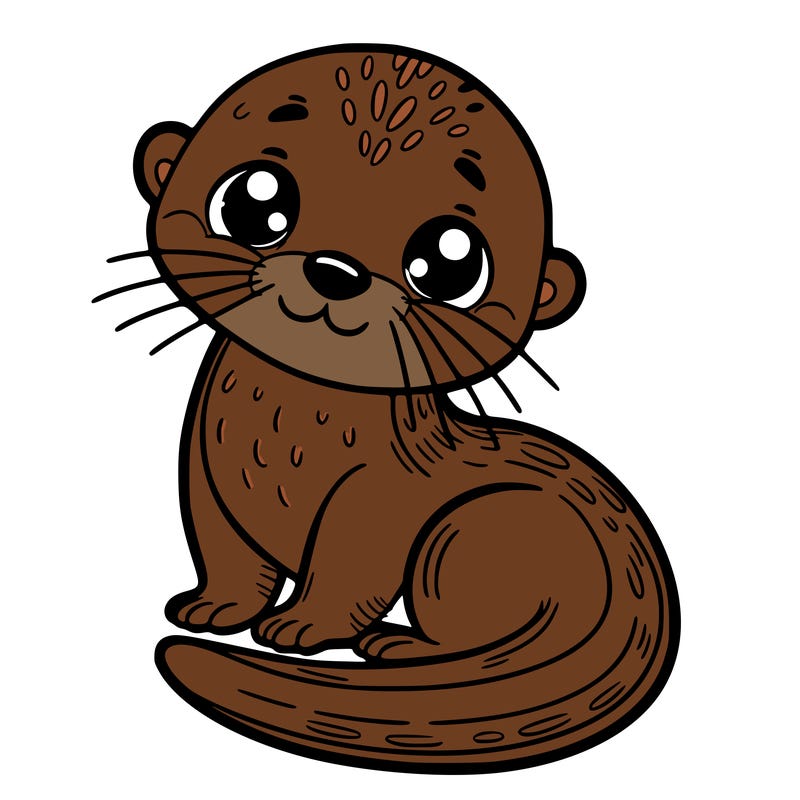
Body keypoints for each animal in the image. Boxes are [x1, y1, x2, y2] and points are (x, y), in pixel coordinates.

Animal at [101, 45, 679, 773]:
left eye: (449, 262)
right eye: (255, 201)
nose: (335, 270)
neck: (284, 436)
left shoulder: (378, 497)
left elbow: (351, 568)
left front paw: (301, 626)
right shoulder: (205, 472)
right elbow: (225, 551)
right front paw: (213, 608)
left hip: (470, 531)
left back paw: (401, 646)